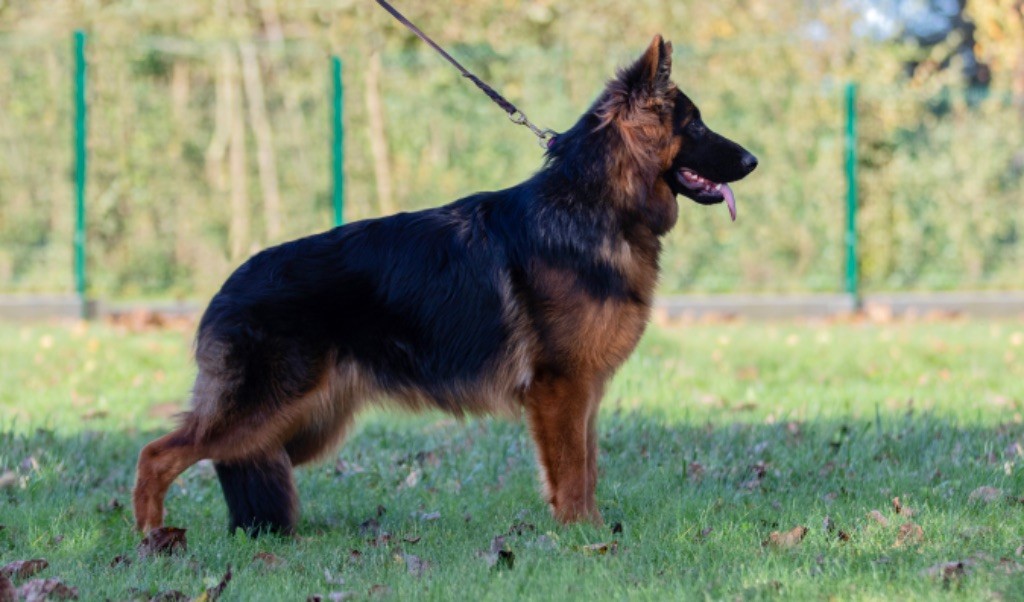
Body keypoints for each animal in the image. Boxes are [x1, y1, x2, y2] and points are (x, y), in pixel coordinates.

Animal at [134, 36, 753, 536]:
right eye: (697, 125)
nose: (753, 159)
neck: (596, 202)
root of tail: (226, 288)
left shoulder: (586, 391)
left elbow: (587, 467)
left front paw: (592, 528)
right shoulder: (561, 388)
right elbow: (573, 470)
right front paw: (581, 537)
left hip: (301, 426)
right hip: (267, 409)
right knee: (155, 455)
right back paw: (151, 539)